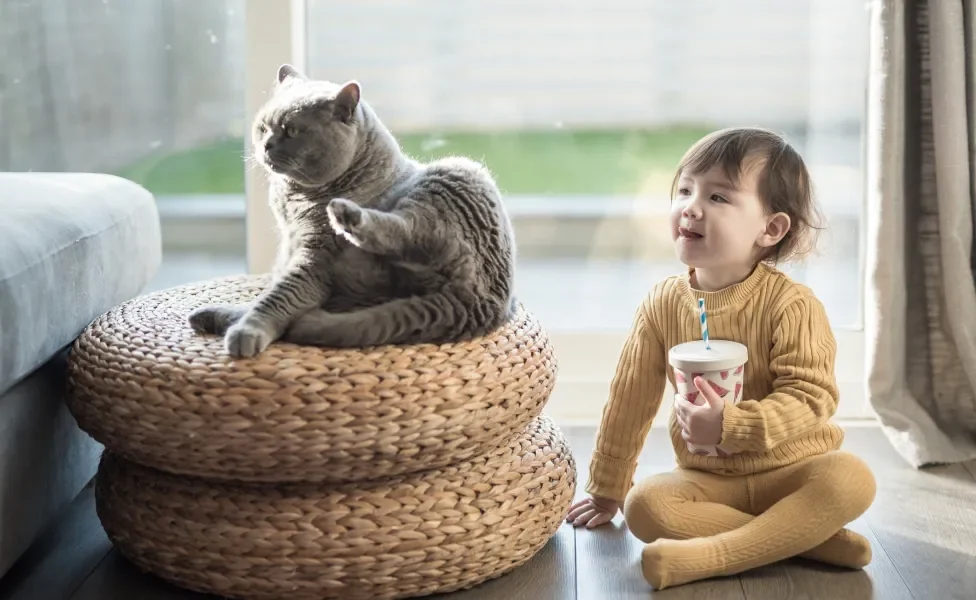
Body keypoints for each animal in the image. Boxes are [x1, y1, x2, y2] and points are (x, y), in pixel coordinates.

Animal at [185, 65, 520, 356]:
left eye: (292, 131)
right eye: (263, 127)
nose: (266, 144)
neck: (294, 202)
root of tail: (487, 304)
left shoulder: (314, 259)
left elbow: (279, 297)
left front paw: (247, 333)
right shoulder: (291, 252)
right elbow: (271, 294)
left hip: (449, 180)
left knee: (406, 232)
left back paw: (346, 214)